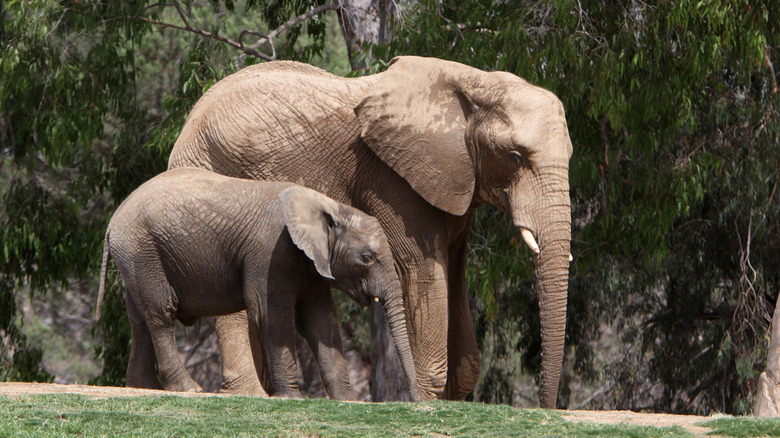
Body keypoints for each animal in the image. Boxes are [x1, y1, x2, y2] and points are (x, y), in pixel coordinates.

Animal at [96, 168, 420, 400]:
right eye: (367, 258)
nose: (418, 402)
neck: (329, 206)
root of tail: (112, 223)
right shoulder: (270, 253)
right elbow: (270, 314)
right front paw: (292, 398)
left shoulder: (313, 266)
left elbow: (321, 320)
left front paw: (345, 401)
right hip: (143, 250)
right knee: (160, 314)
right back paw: (188, 389)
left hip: (136, 256)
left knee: (139, 320)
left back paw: (142, 387)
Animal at [168, 55, 572, 408]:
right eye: (515, 157)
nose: (546, 407)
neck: (475, 83)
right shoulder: (392, 181)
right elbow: (423, 271)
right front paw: (425, 402)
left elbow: (457, 288)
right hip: (211, 170)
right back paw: (249, 395)